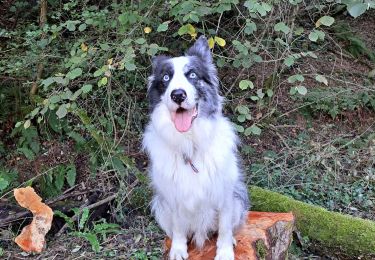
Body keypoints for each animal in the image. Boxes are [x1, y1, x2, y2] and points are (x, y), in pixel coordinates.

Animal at [143, 35, 250, 260]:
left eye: (192, 75)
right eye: (166, 78)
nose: (178, 95)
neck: (190, 142)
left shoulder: (226, 194)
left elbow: (225, 228)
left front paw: (225, 252)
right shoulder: (173, 197)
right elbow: (178, 228)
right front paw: (178, 249)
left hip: (239, 198)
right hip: (159, 206)